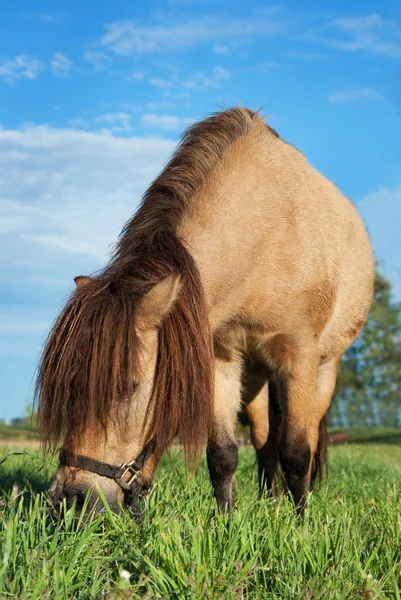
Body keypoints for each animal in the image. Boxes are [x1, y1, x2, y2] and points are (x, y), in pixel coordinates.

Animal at [36, 106, 374, 516]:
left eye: (127, 387)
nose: (68, 502)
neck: (266, 231)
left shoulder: (298, 357)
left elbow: (296, 452)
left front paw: (302, 523)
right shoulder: (220, 358)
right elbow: (223, 455)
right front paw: (227, 521)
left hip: (325, 368)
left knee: (302, 437)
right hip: (255, 375)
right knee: (263, 438)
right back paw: (269, 498)